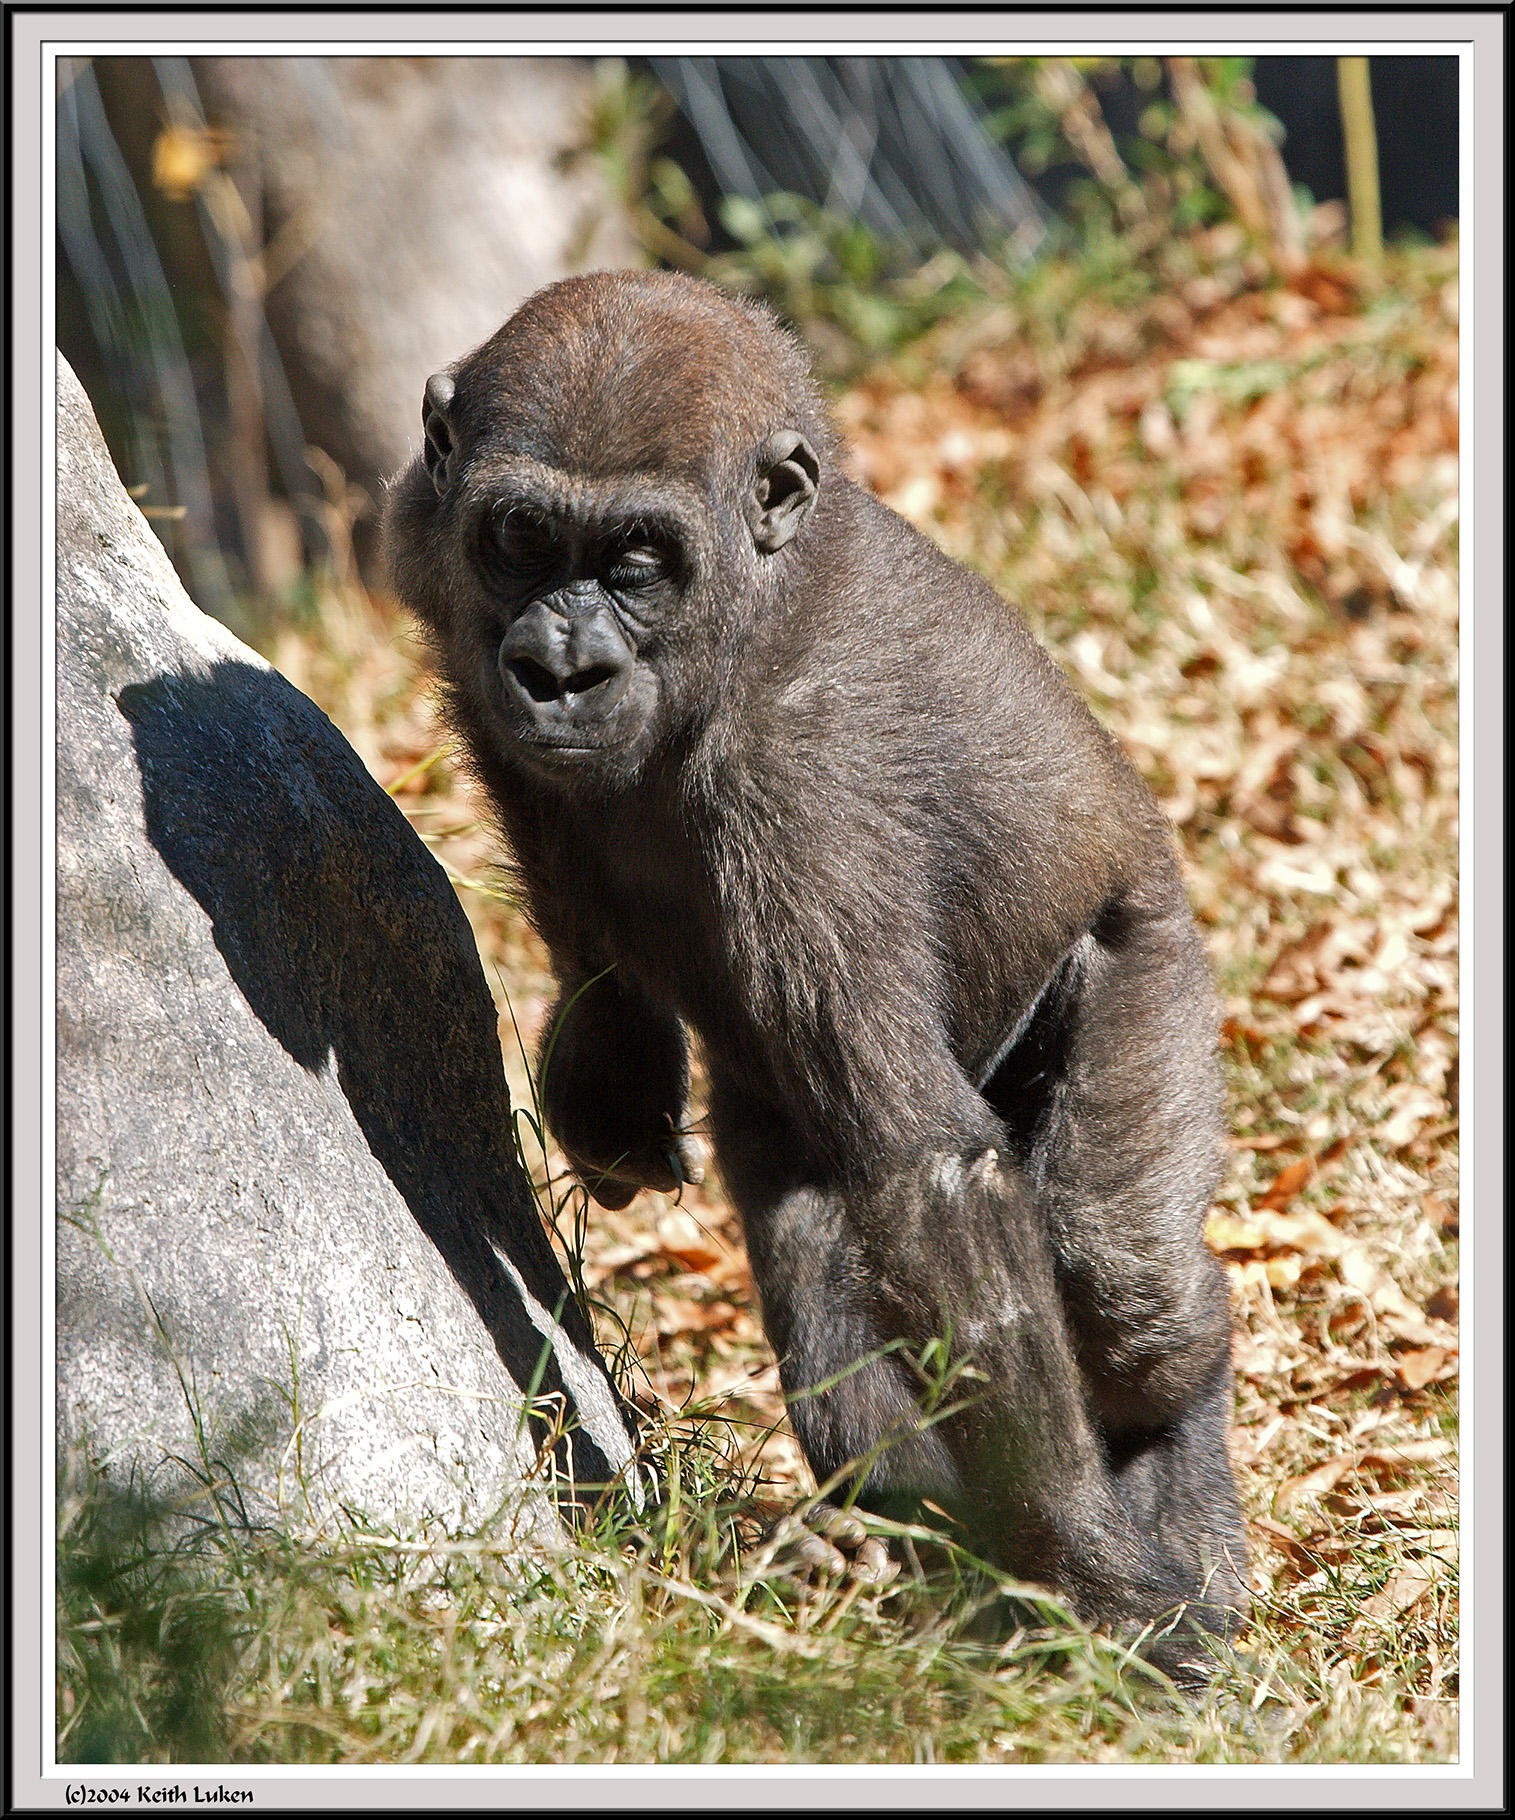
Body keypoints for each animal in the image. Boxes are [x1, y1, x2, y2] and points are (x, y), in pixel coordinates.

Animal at [384, 265, 1245, 1674]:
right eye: (518, 538)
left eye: (636, 562)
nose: (560, 666)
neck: (750, 607)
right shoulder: (433, 557)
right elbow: (562, 859)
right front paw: (608, 1067)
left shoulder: (803, 788)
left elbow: (931, 1174)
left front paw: (1096, 1566)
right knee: (827, 1267)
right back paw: (922, 1544)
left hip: (1151, 956)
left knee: (1128, 1288)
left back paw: (1171, 1512)